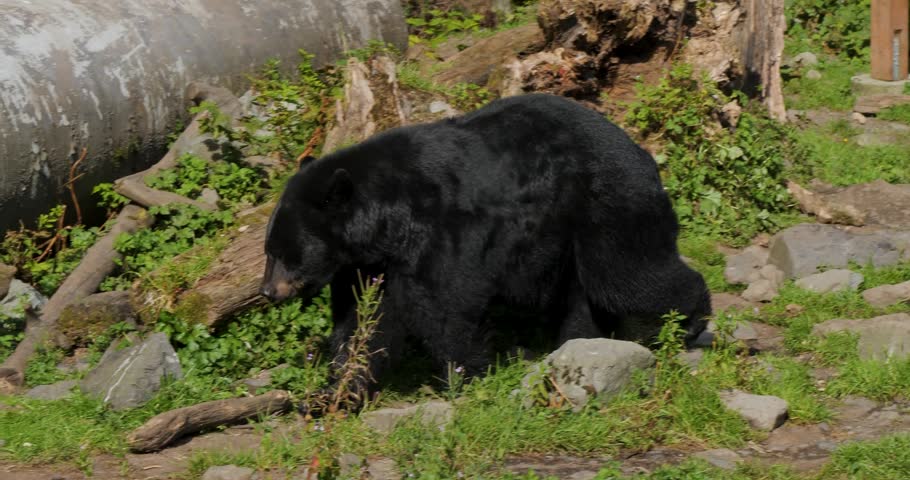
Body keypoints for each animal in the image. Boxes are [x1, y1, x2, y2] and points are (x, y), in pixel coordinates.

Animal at [260, 93, 711, 396]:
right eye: (270, 253)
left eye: (283, 254)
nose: (267, 291)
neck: (389, 220)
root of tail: (642, 153)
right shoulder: (368, 263)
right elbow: (363, 319)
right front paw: (337, 389)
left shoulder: (444, 231)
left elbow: (445, 306)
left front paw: (464, 375)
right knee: (586, 295)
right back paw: (578, 342)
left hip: (606, 204)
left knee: (625, 276)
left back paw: (691, 321)